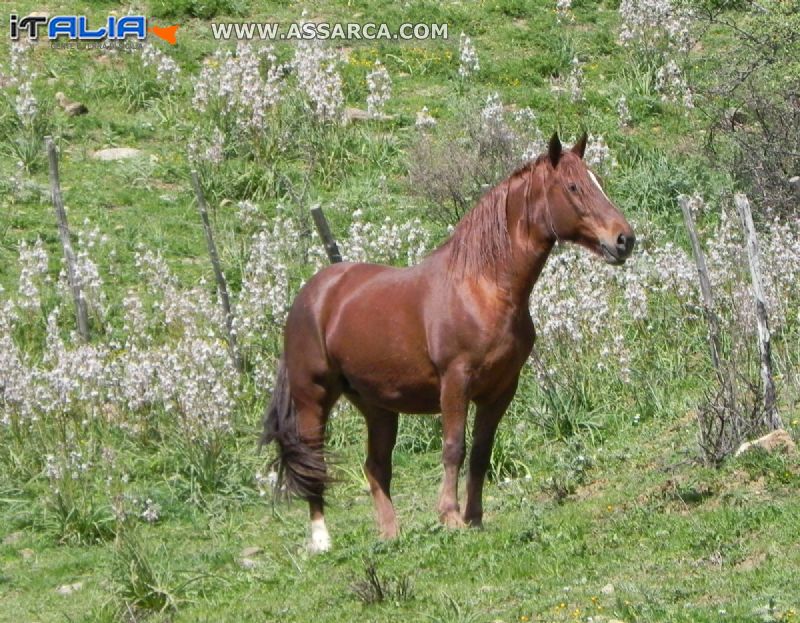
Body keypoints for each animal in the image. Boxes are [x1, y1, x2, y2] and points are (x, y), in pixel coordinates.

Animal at [266, 132, 636, 552]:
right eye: (574, 187)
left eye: (597, 181)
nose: (624, 240)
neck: (482, 286)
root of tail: (309, 295)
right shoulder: (455, 383)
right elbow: (453, 448)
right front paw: (450, 516)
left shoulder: (500, 391)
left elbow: (480, 452)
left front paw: (474, 518)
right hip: (313, 397)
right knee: (313, 461)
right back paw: (321, 540)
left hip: (377, 406)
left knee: (376, 467)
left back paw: (391, 536)